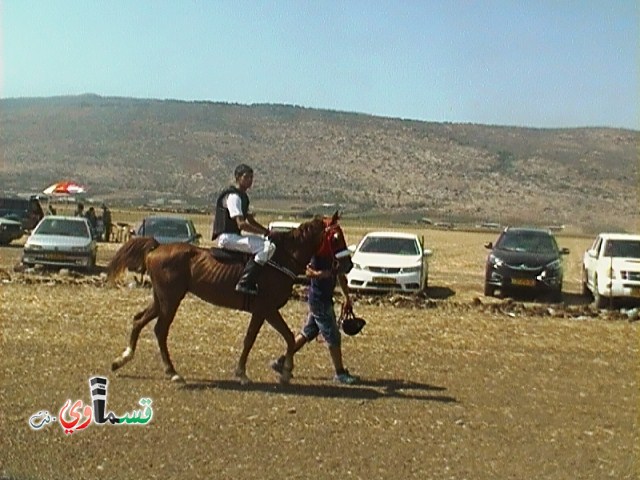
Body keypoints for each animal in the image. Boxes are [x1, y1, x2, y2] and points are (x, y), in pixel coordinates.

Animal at [107, 212, 352, 384]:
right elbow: (272, 338)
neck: (282, 258)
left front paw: (273, 371)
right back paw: (172, 372)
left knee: (139, 320)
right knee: (160, 330)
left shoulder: (264, 311)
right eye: (336, 237)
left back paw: (122, 359)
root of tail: (157, 247)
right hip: (170, 300)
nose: (348, 265)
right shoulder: (266, 309)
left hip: (161, 299)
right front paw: (270, 372)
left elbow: (273, 338)